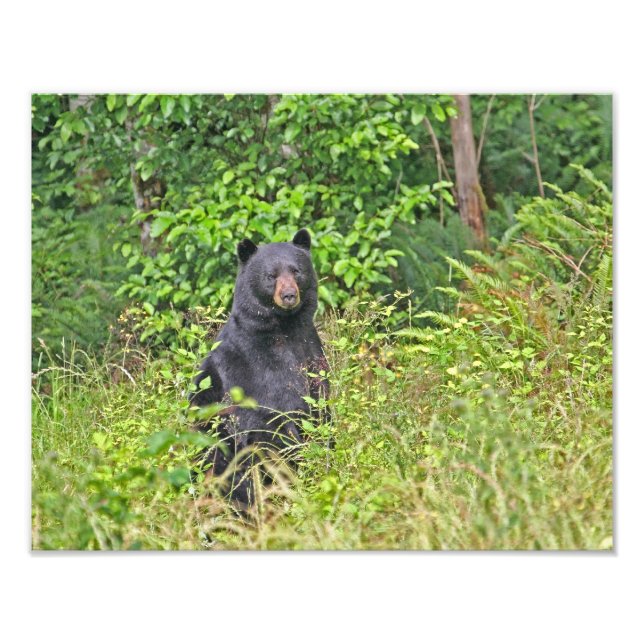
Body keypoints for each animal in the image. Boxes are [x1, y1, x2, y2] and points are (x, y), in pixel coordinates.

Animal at [189, 228, 330, 508]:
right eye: (270, 275)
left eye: (296, 270)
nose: (289, 295)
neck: (283, 330)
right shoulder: (254, 367)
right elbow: (275, 412)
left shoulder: (310, 350)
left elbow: (320, 402)